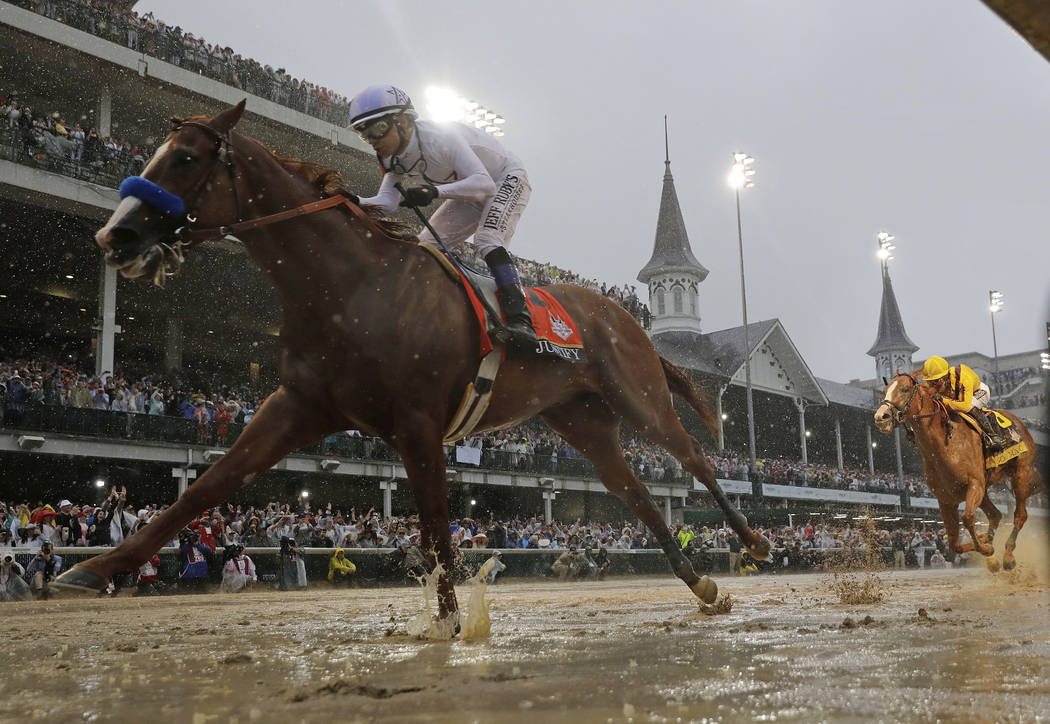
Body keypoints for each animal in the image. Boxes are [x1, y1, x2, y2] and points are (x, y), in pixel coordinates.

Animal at [53, 101, 768, 625]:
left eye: (186, 158)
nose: (115, 234)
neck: (351, 288)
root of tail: (627, 318)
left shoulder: (420, 424)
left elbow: (435, 528)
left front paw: (451, 627)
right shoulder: (299, 406)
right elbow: (207, 486)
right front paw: (91, 568)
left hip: (638, 398)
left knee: (696, 459)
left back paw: (752, 540)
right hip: (584, 424)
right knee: (640, 496)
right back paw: (702, 584)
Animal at [873, 371, 1037, 570]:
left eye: (904, 389)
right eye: (885, 390)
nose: (881, 417)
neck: (946, 446)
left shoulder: (974, 485)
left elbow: (967, 518)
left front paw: (986, 547)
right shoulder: (946, 499)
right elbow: (954, 543)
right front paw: (986, 545)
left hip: (1021, 473)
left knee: (1020, 515)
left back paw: (1008, 556)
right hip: (985, 491)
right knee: (996, 515)